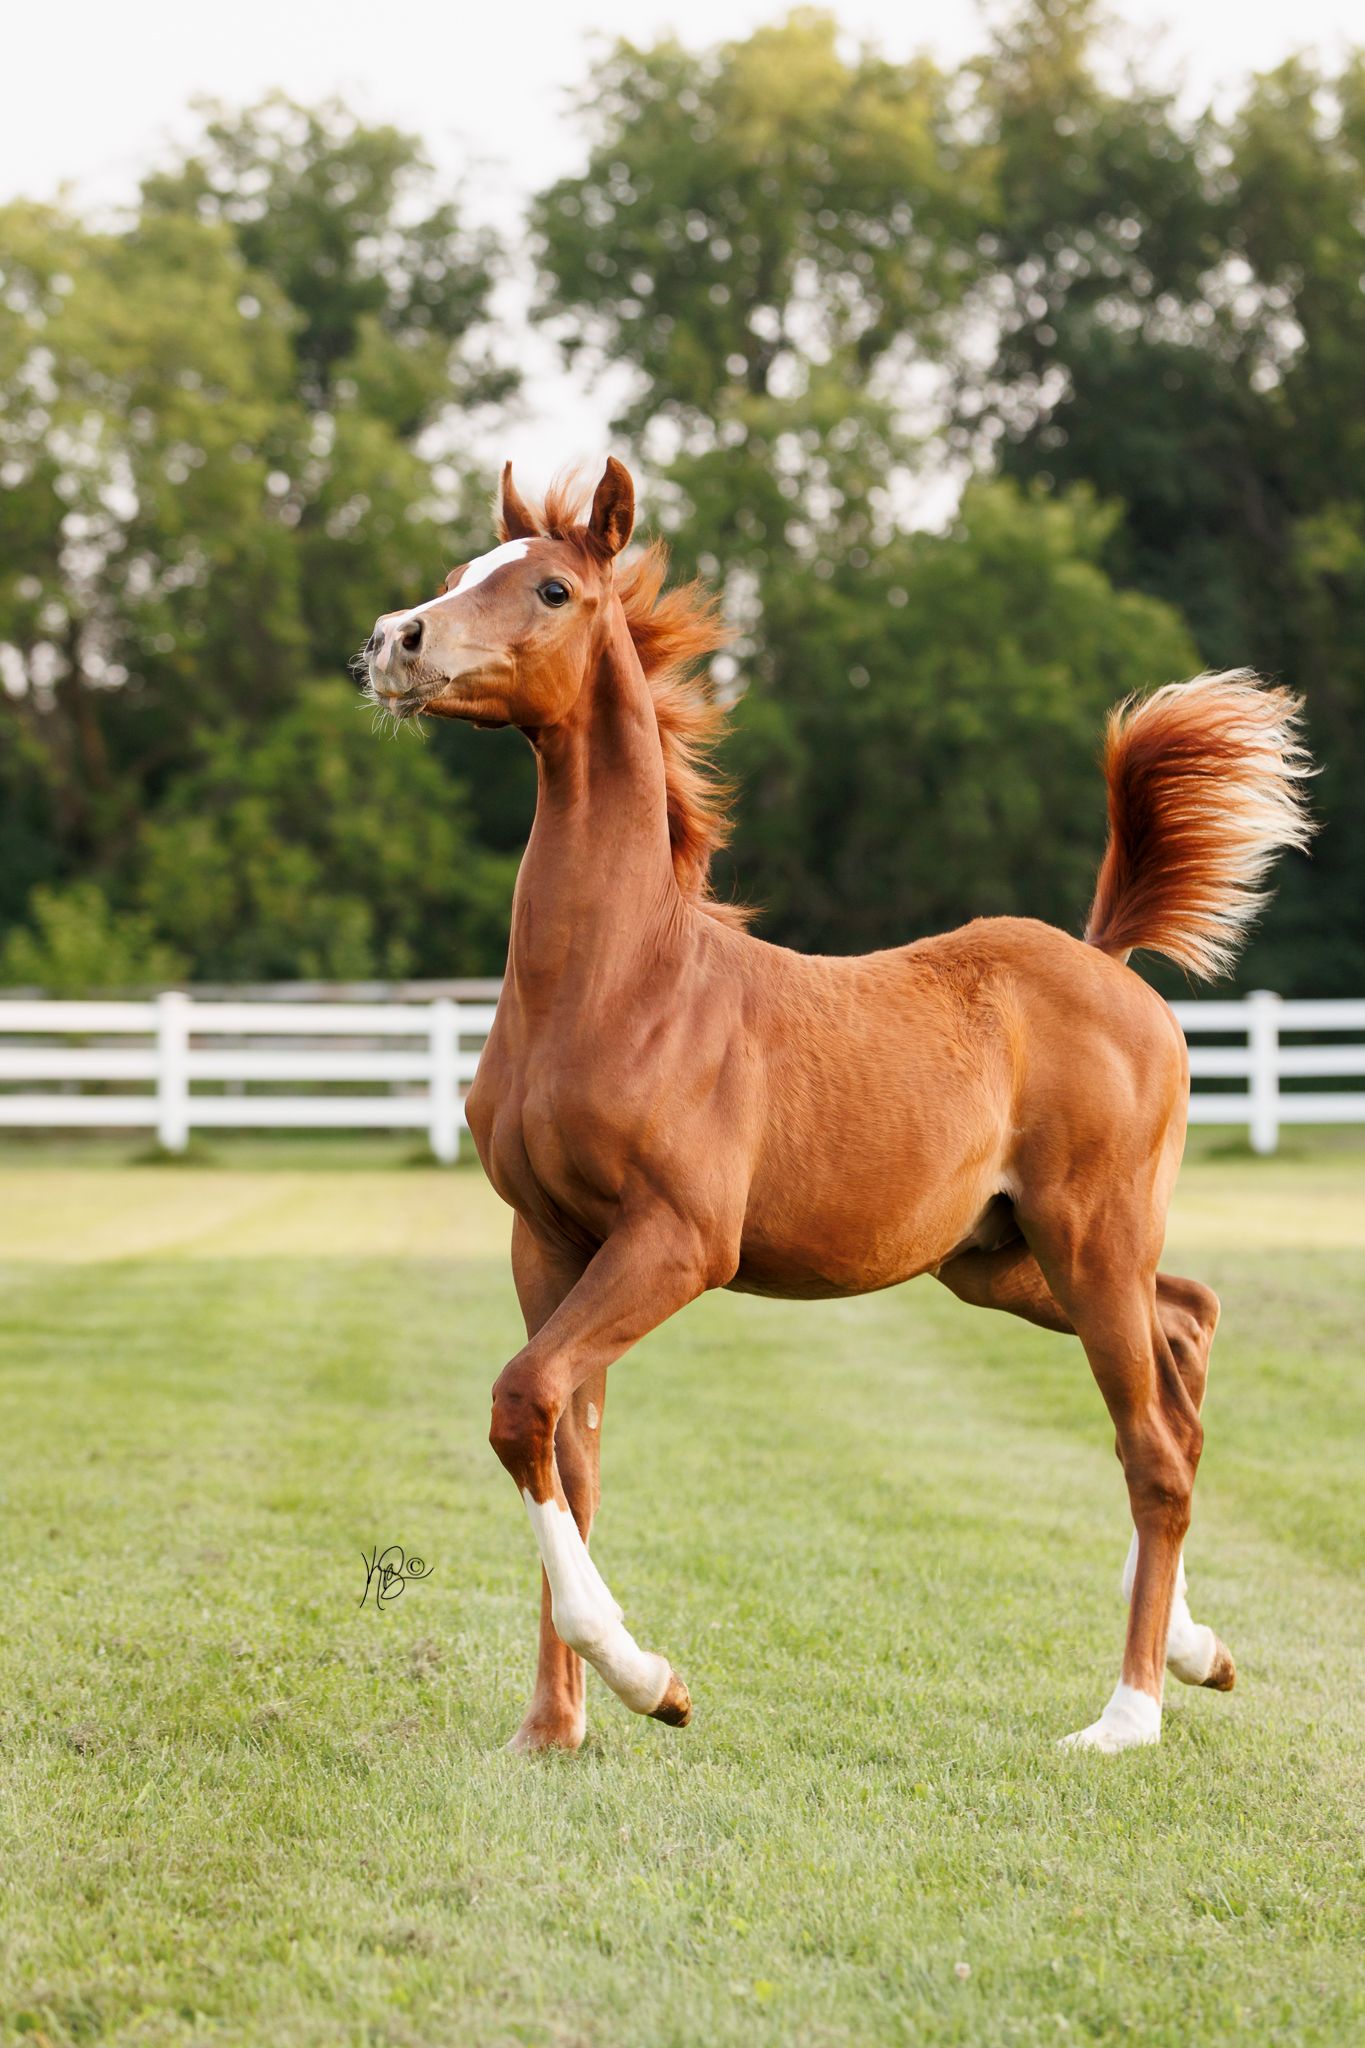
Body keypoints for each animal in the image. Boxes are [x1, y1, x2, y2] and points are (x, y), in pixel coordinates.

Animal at [361, 457, 1312, 1756]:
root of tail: (1106, 957)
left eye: (550, 587)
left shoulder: (679, 1240)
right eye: (463, 570)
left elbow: (523, 1401)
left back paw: (1127, 1713)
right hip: (1001, 1259)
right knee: (1190, 1327)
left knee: (1153, 1446)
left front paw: (651, 1680)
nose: (394, 641)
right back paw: (1194, 1643)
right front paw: (552, 1728)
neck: (618, 984)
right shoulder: (548, 1238)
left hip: (1091, 1237)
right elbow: (566, 1445)